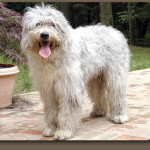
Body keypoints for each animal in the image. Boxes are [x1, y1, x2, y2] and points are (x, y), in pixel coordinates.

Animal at [20, 4, 130, 141]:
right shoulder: (48, 89)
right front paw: (51, 128)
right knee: (99, 94)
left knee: (117, 94)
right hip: (95, 79)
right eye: (38, 24)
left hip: (115, 76)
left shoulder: (68, 88)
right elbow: (51, 110)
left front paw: (64, 131)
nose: (44, 34)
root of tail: (114, 31)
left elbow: (67, 111)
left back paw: (119, 116)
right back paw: (99, 111)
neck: (52, 59)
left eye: (52, 24)